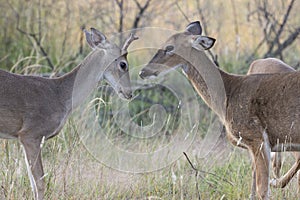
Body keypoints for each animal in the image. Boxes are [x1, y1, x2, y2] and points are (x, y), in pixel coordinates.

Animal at [0, 27, 138, 199]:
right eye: (123, 64)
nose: (129, 93)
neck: (60, 96)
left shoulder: (28, 138)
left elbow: (33, 183)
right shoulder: (30, 133)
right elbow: (40, 183)